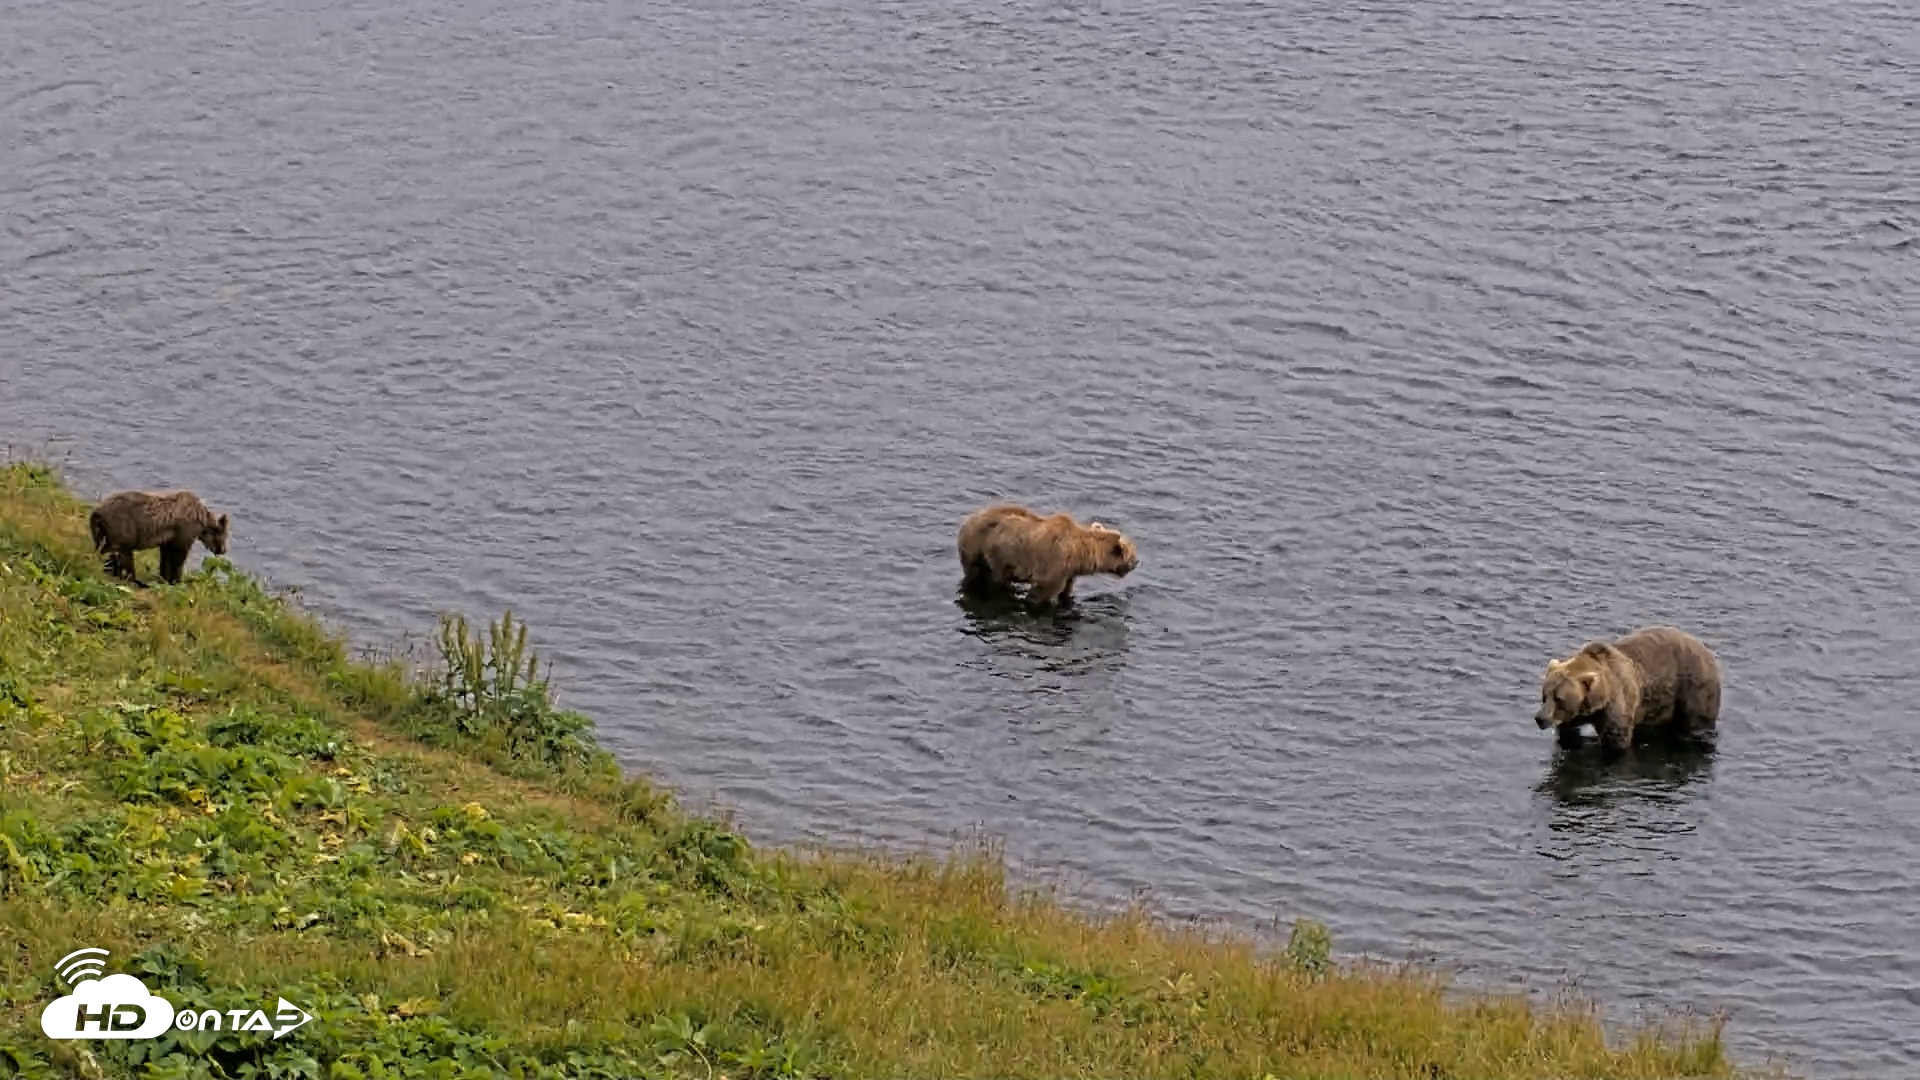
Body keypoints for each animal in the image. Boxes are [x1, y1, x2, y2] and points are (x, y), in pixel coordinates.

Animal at [89, 489, 231, 586]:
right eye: (225, 534)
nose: (223, 550)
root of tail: (96, 512)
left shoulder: (168, 539)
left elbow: (166, 559)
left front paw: (164, 579)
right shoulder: (183, 534)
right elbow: (178, 560)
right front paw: (177, 581)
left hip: (104, 531)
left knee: (107, 550)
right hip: (123, 528)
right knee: (120, 553)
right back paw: (130, 578)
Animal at [956, 503, 1138, 608]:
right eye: (1132, 553)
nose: (1137, 562)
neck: (1079, 552)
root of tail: (967, 520)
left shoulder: (1069, 572)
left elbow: (1066, 591)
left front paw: (1067, 600)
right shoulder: (1055, 564)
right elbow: (1044, 589)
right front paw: (1035, 602)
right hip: (983, 550)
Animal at [1535, 625, 1722, 751]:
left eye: (1559, 698)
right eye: (1544, 695)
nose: (1540, 718)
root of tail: (1705, 649)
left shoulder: (1618, 704)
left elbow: (1617, 741)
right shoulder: (1574, 716)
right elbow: (1568, 733)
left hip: (1693, 688)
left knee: (1697, 721)